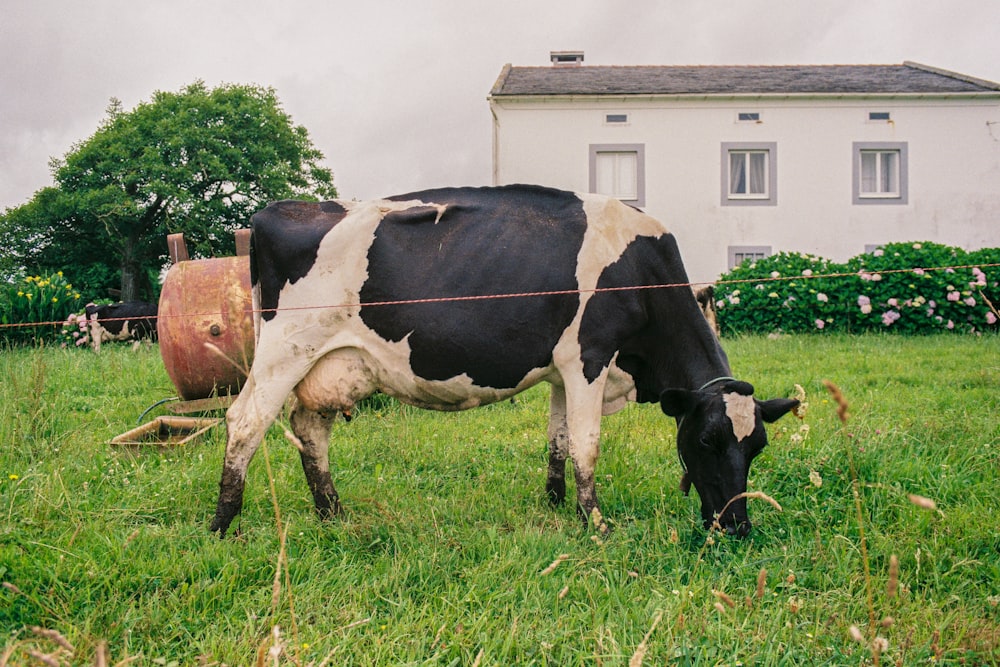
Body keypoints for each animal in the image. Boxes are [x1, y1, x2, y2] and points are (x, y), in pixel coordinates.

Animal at [211, 185, 796, 540]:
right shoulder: (589, 356)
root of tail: (275, 212)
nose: (737, 526)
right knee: (245, 422)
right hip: (286, 349)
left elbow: (559, 439)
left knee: (309, 428)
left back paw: (333, 514)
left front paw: (557, 504)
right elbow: (588, 444)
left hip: (331, 365)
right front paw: (595, 521)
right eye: (707, 440)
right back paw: (223, 524)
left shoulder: (564, 370)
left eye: (757, 447)